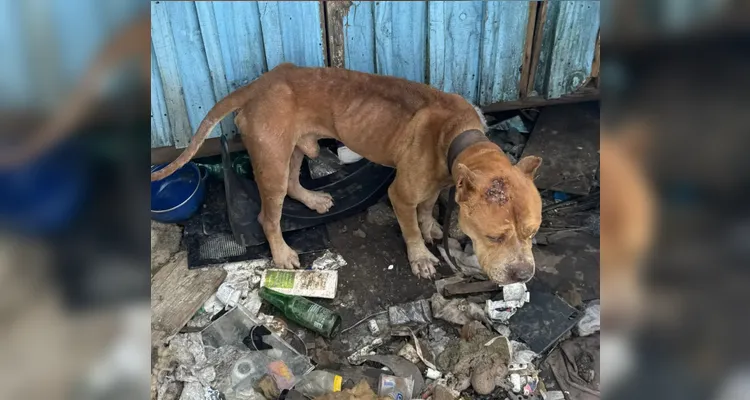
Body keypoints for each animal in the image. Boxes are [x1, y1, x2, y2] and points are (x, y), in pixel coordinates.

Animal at [153, 65, 544, 284]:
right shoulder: (401, 194)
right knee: (268, 215)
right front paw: (420, 256)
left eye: (532, 233)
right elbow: (410, 227)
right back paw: (282, 254)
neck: (458, 134)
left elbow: (426, 207)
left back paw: (313, 199)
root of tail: (259, 84)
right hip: (271, 159)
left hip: (296, 147)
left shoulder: (439, 182)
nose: (523, 275)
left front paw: (432, 224)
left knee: (294, 181)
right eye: (494, 237)